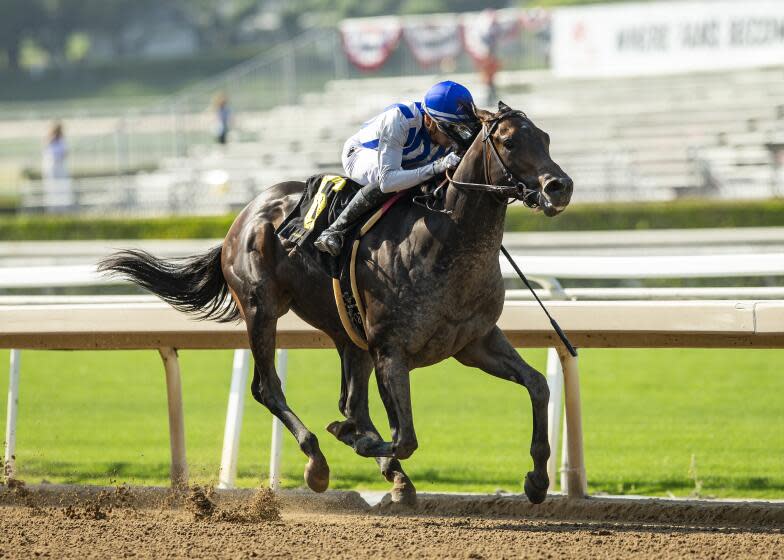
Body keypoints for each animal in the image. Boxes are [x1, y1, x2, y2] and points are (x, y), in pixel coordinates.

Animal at [101, 103, 572, 506]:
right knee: (268, 388)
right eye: (509, 142)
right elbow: (406, 436)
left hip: (345, 329)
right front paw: (358, 443)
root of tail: (246, 213)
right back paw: (318, 462)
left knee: (351, 402)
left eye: (546, 137)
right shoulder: (390, 350)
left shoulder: (474, 341)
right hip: (262, 308)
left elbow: (538, 385)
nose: (560, 187)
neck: (446, 240)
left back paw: (390, 473)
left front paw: (537, 480)